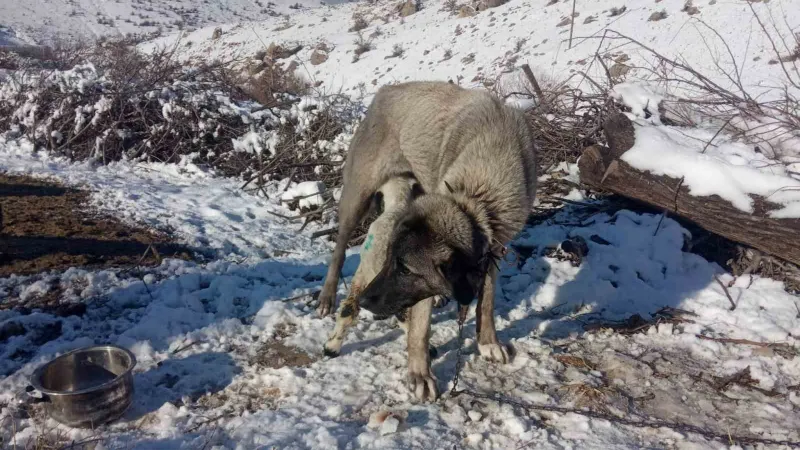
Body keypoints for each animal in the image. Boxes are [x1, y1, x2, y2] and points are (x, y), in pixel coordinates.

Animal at [316, 81, 536, 400]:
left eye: (404, 268)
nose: (368, 299)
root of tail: (385, 92)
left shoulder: (494, 246)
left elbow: (487, 300)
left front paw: (488, 342)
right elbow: (420, 328)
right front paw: (420, 375)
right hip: (356, 198)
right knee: (340, 249)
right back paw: (328, 297)